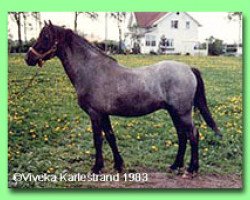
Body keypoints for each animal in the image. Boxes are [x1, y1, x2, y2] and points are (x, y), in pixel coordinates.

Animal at [24, 21, 221, 179]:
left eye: (46, 36)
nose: (28, 58)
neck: (91, 69)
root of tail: (188, 68)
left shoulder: (95, 114)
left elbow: (98, 140)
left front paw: (96, 168)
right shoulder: (103, 114)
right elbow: (110, 137)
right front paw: (119, 165)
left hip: (183, 113)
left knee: (193, 135)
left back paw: (191, 170)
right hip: (174, 112)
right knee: (182, 136)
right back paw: (174, 166)